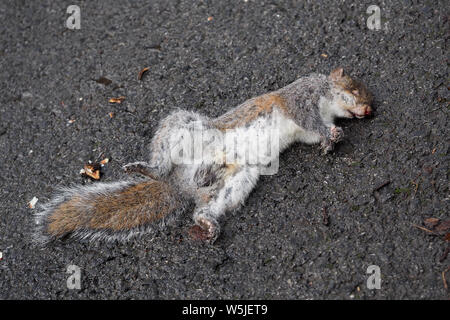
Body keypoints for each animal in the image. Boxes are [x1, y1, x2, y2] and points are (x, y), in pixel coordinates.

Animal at [34, 67, 372, 242]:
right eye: (354, 89)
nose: (369, 110)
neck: (326, 101)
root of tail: (179, 184)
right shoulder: (299, 100)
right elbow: (310, 120)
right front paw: (332, 135)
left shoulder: (308, 130)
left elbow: (318, 132)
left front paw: (333, 138)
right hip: (185, 128)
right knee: (163, 159)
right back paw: (151, 170)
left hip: (236, 183)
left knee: (204, 209)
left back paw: (208, 223)